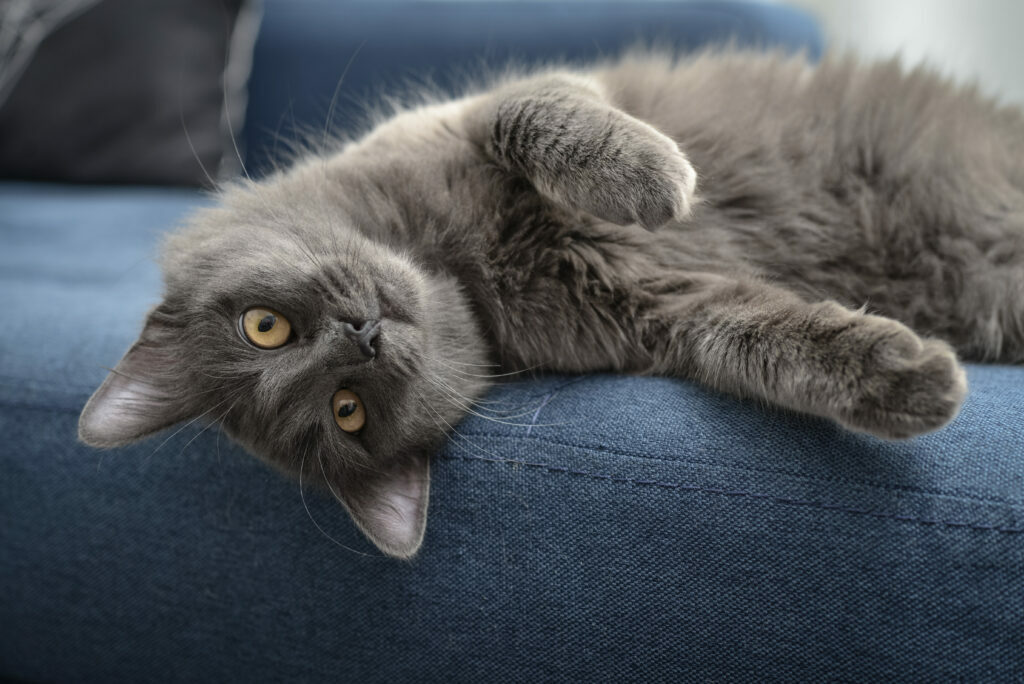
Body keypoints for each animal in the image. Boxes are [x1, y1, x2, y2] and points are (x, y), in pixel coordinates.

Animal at [77, 52, 1024, 557]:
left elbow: (533, 116)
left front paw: (654, 177)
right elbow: (761, 341)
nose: (362, 338)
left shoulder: (484, 110)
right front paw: (911, 379)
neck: (467, 264)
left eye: (264, 328)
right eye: (347, 411)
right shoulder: (657, 313)